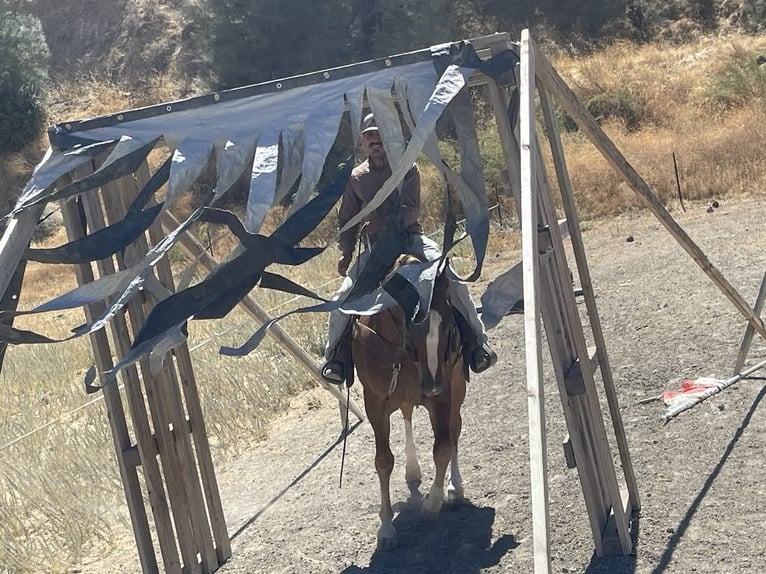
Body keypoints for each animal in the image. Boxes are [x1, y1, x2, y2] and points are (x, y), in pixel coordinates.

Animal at [350, 264, 468, 552]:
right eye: (413, 326)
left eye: (449, 325)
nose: (432, 383)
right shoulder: (375, 404)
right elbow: (383, 462)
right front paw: (386, 528)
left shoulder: (444, 395)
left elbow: (443, 448)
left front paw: (432, 503)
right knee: (407, 416)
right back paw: (413, 470)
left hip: (457, 388)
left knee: (454, 431)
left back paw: (454, 488)